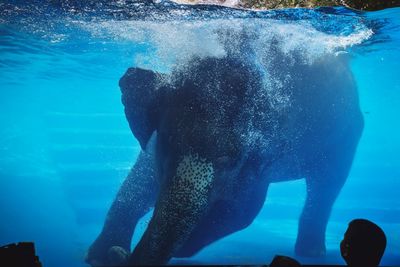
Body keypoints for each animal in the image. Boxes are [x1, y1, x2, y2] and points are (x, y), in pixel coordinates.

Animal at [86, 47, 364, 264]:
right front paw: (99, 256)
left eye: (228, 161)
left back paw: (312, 252)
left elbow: (243, 209)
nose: (121, 255)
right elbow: (140, 183)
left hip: (346, 140)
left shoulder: (263, 154)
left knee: (325, 187)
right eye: (168, 143)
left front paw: (184, 248)